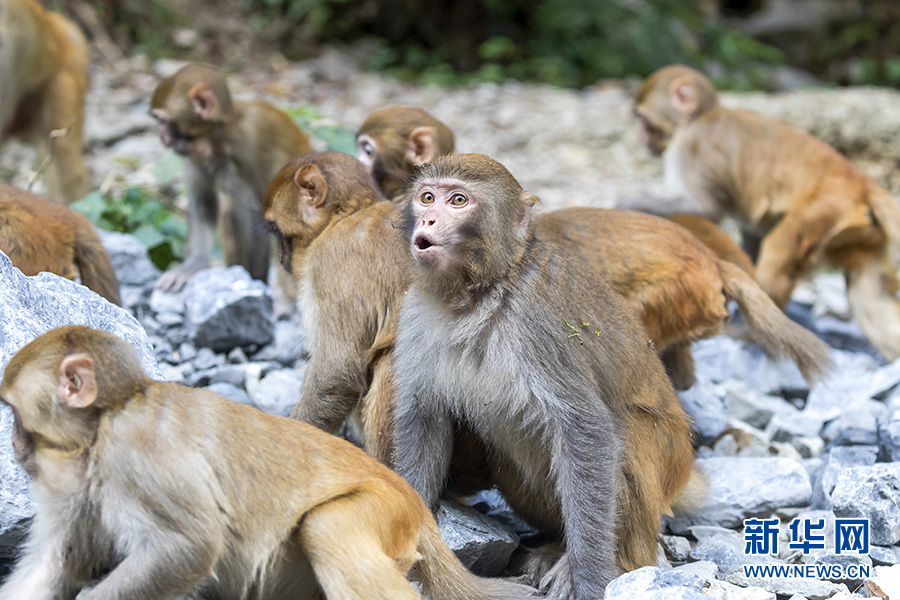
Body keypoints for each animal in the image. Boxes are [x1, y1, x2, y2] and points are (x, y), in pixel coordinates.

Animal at [0, 324, 536, 600]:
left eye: (14, 411)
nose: (16, 446)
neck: (110, 417)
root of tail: (417, 504)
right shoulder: (72, 484)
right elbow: (57, 559)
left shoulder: (137, 454)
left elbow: (189, 546)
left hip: (385, 510)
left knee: (326, 526)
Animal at [151, 62, 312, 292]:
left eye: (163, 120)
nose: (161, 135)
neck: (219, 138)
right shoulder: (194, 159)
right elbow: (204, 207)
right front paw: (192, 266)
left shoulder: (248, 149)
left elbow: (257, 220)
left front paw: (254, 281)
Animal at [390, 154, 692, 596]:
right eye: (427, 198)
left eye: (458, 200)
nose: (427, 220)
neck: (478, 289)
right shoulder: (415, 312)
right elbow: (423, 418)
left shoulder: (535, 321)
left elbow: (586, 428)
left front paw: (589, 578)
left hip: (667, 459)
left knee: (625, 433)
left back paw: (615, 559)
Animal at [632, 64, 900, 360]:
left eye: (643, 118)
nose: (641, 137)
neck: (699, 117)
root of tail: (863, 182)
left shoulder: (688, 147)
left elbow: (702, 207)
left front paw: (628, 202)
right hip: (862, 235)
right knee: (870, 297)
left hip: (825, 210)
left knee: (780, 247)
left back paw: (751, 332)